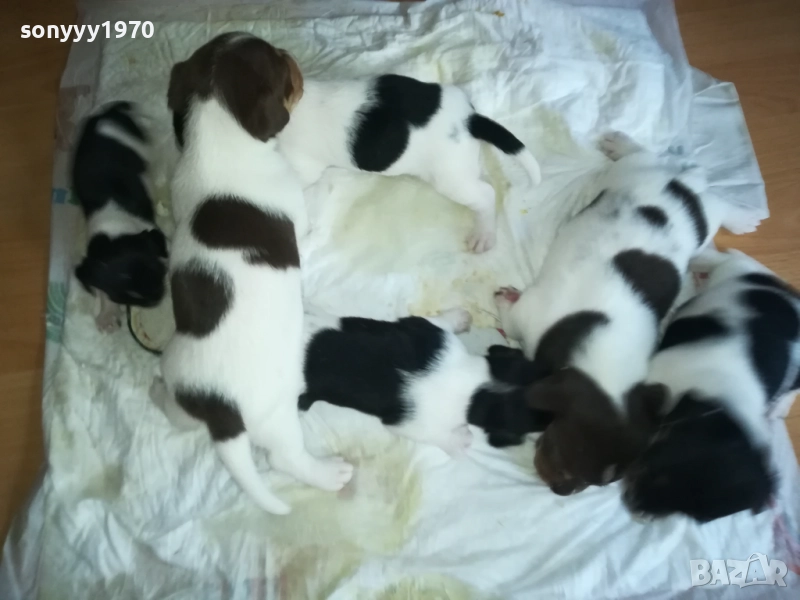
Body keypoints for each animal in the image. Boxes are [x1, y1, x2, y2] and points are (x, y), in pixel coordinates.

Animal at [71, 101, 168, 331]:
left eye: (159, 274)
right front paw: (107, 314)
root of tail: (106, 114)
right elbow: (100, 287)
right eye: (126, 297)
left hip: (138, 145)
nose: (158, 298)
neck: (116, 229)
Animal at [153, 32, 352, 515]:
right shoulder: (300, 216)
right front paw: (331, 180)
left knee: (177, 415)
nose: (292, 56)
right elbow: (315, 197)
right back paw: (327, 474)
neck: (217, 137)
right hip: (278, 416)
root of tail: (220, 408)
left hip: (179, 383)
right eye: (280, 64)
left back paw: (155, 392)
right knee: (286, 458)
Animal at [299, 309, 552, 452]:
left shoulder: (429, 330)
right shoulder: (409, 424)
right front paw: (459, 441)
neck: (475, 386)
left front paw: (459, 318)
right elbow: (438, 436)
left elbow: (440, 321)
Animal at [494, 132, 733, 496]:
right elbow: (511, 317)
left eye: (598, 483)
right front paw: (503, 299)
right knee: (644, 157)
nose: (561, 491)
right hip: (628, 175)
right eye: (561, 456)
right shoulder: (529, 314)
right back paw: (621, 145)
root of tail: (682, 184)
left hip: (705, 217)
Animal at [623, 248, 799, 522]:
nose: (633, 507)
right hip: (732, 271)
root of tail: (781, 290)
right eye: (655, 470)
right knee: (724, 259)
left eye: (696, 517)